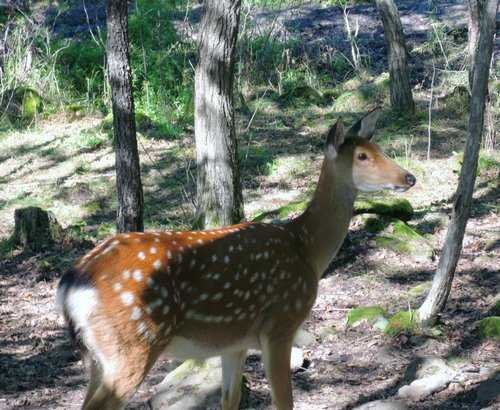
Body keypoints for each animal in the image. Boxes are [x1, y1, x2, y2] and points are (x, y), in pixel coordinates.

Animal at [55, 108, 414, 410]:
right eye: (362, 156)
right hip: (134, 343)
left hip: (98, 355)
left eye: (377, 147)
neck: (307, 248)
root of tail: (72, 283)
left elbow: (230, 399)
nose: (408, 177)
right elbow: (284, 401)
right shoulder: (281, 323)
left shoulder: (234, 341)